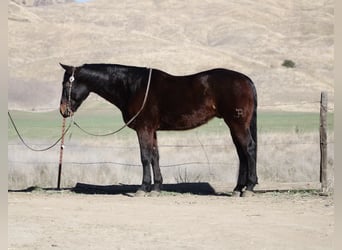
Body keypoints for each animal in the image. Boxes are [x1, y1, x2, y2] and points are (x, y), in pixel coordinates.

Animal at [58, 63, 258, 197]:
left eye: (66, 85)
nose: (63, 110)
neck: (132, 87)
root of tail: (247, 80)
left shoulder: (143, 129)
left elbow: (145, 156)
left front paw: (142, 188)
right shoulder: (152, 131)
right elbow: (155, 156)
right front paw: (156, 188)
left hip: (237, 124)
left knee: (248, 149)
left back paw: (249, 187)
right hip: (234, 125)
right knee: (241, 153)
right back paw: (238, 188)